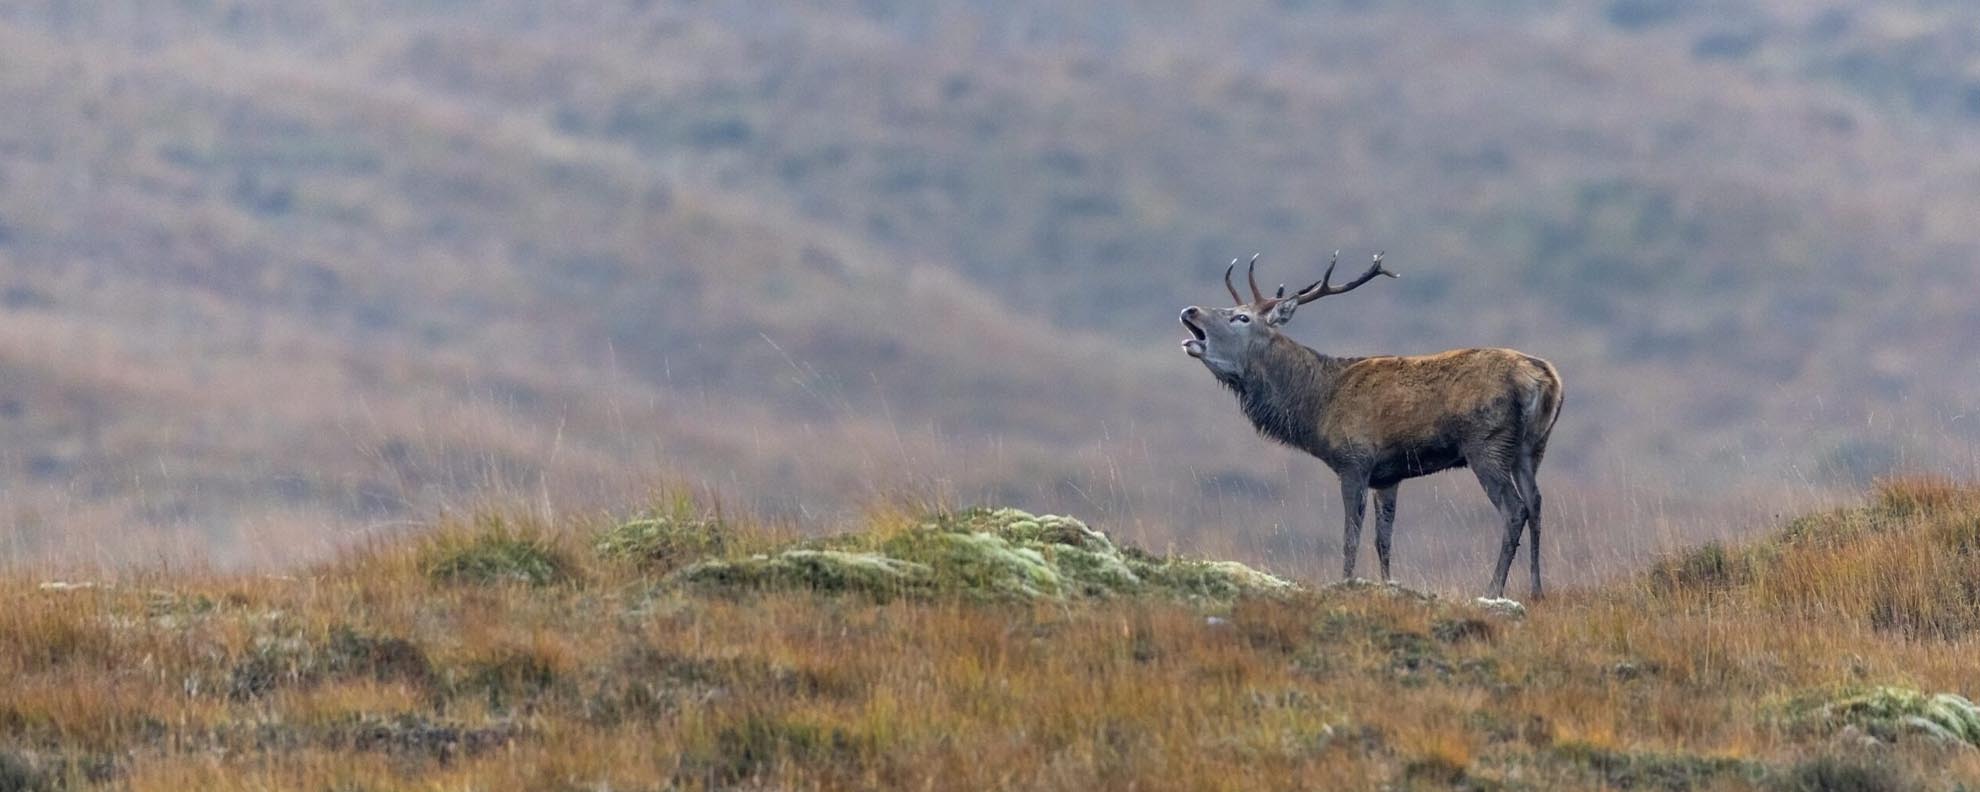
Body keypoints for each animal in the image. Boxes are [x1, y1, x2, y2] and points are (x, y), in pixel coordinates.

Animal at [1179, 253, 1564, 602]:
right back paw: (1537, 591)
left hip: (1487, 444)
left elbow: (1351, 535)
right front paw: (1387, 585)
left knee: (1515, 509)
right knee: (1536, 503)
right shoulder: (1388, 476)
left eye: (1241, 317)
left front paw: (1346, 583)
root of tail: (1547, 379)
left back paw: (1493, 590)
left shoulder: (1354, 460)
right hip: (1532, 448)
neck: (1316, 407)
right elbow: (1383, 540)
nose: (1189, 310)